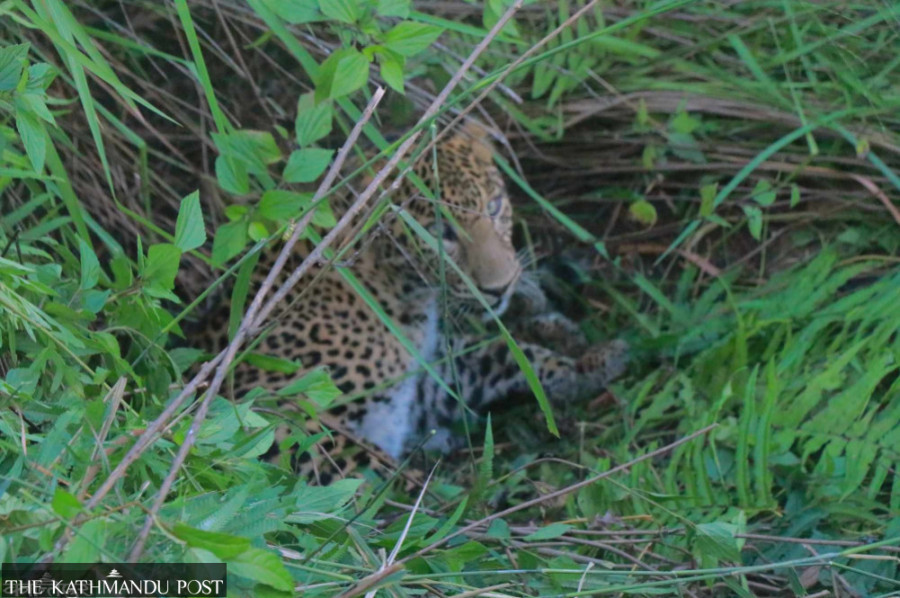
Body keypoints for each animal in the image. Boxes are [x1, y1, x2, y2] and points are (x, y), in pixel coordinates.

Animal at [197, 121, 629, 483]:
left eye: (493, 207)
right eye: (441, 233)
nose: (501, 287)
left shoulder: (420, 386)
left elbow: (501, 356)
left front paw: (590, 363)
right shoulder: (271, 410)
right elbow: (376, 474)